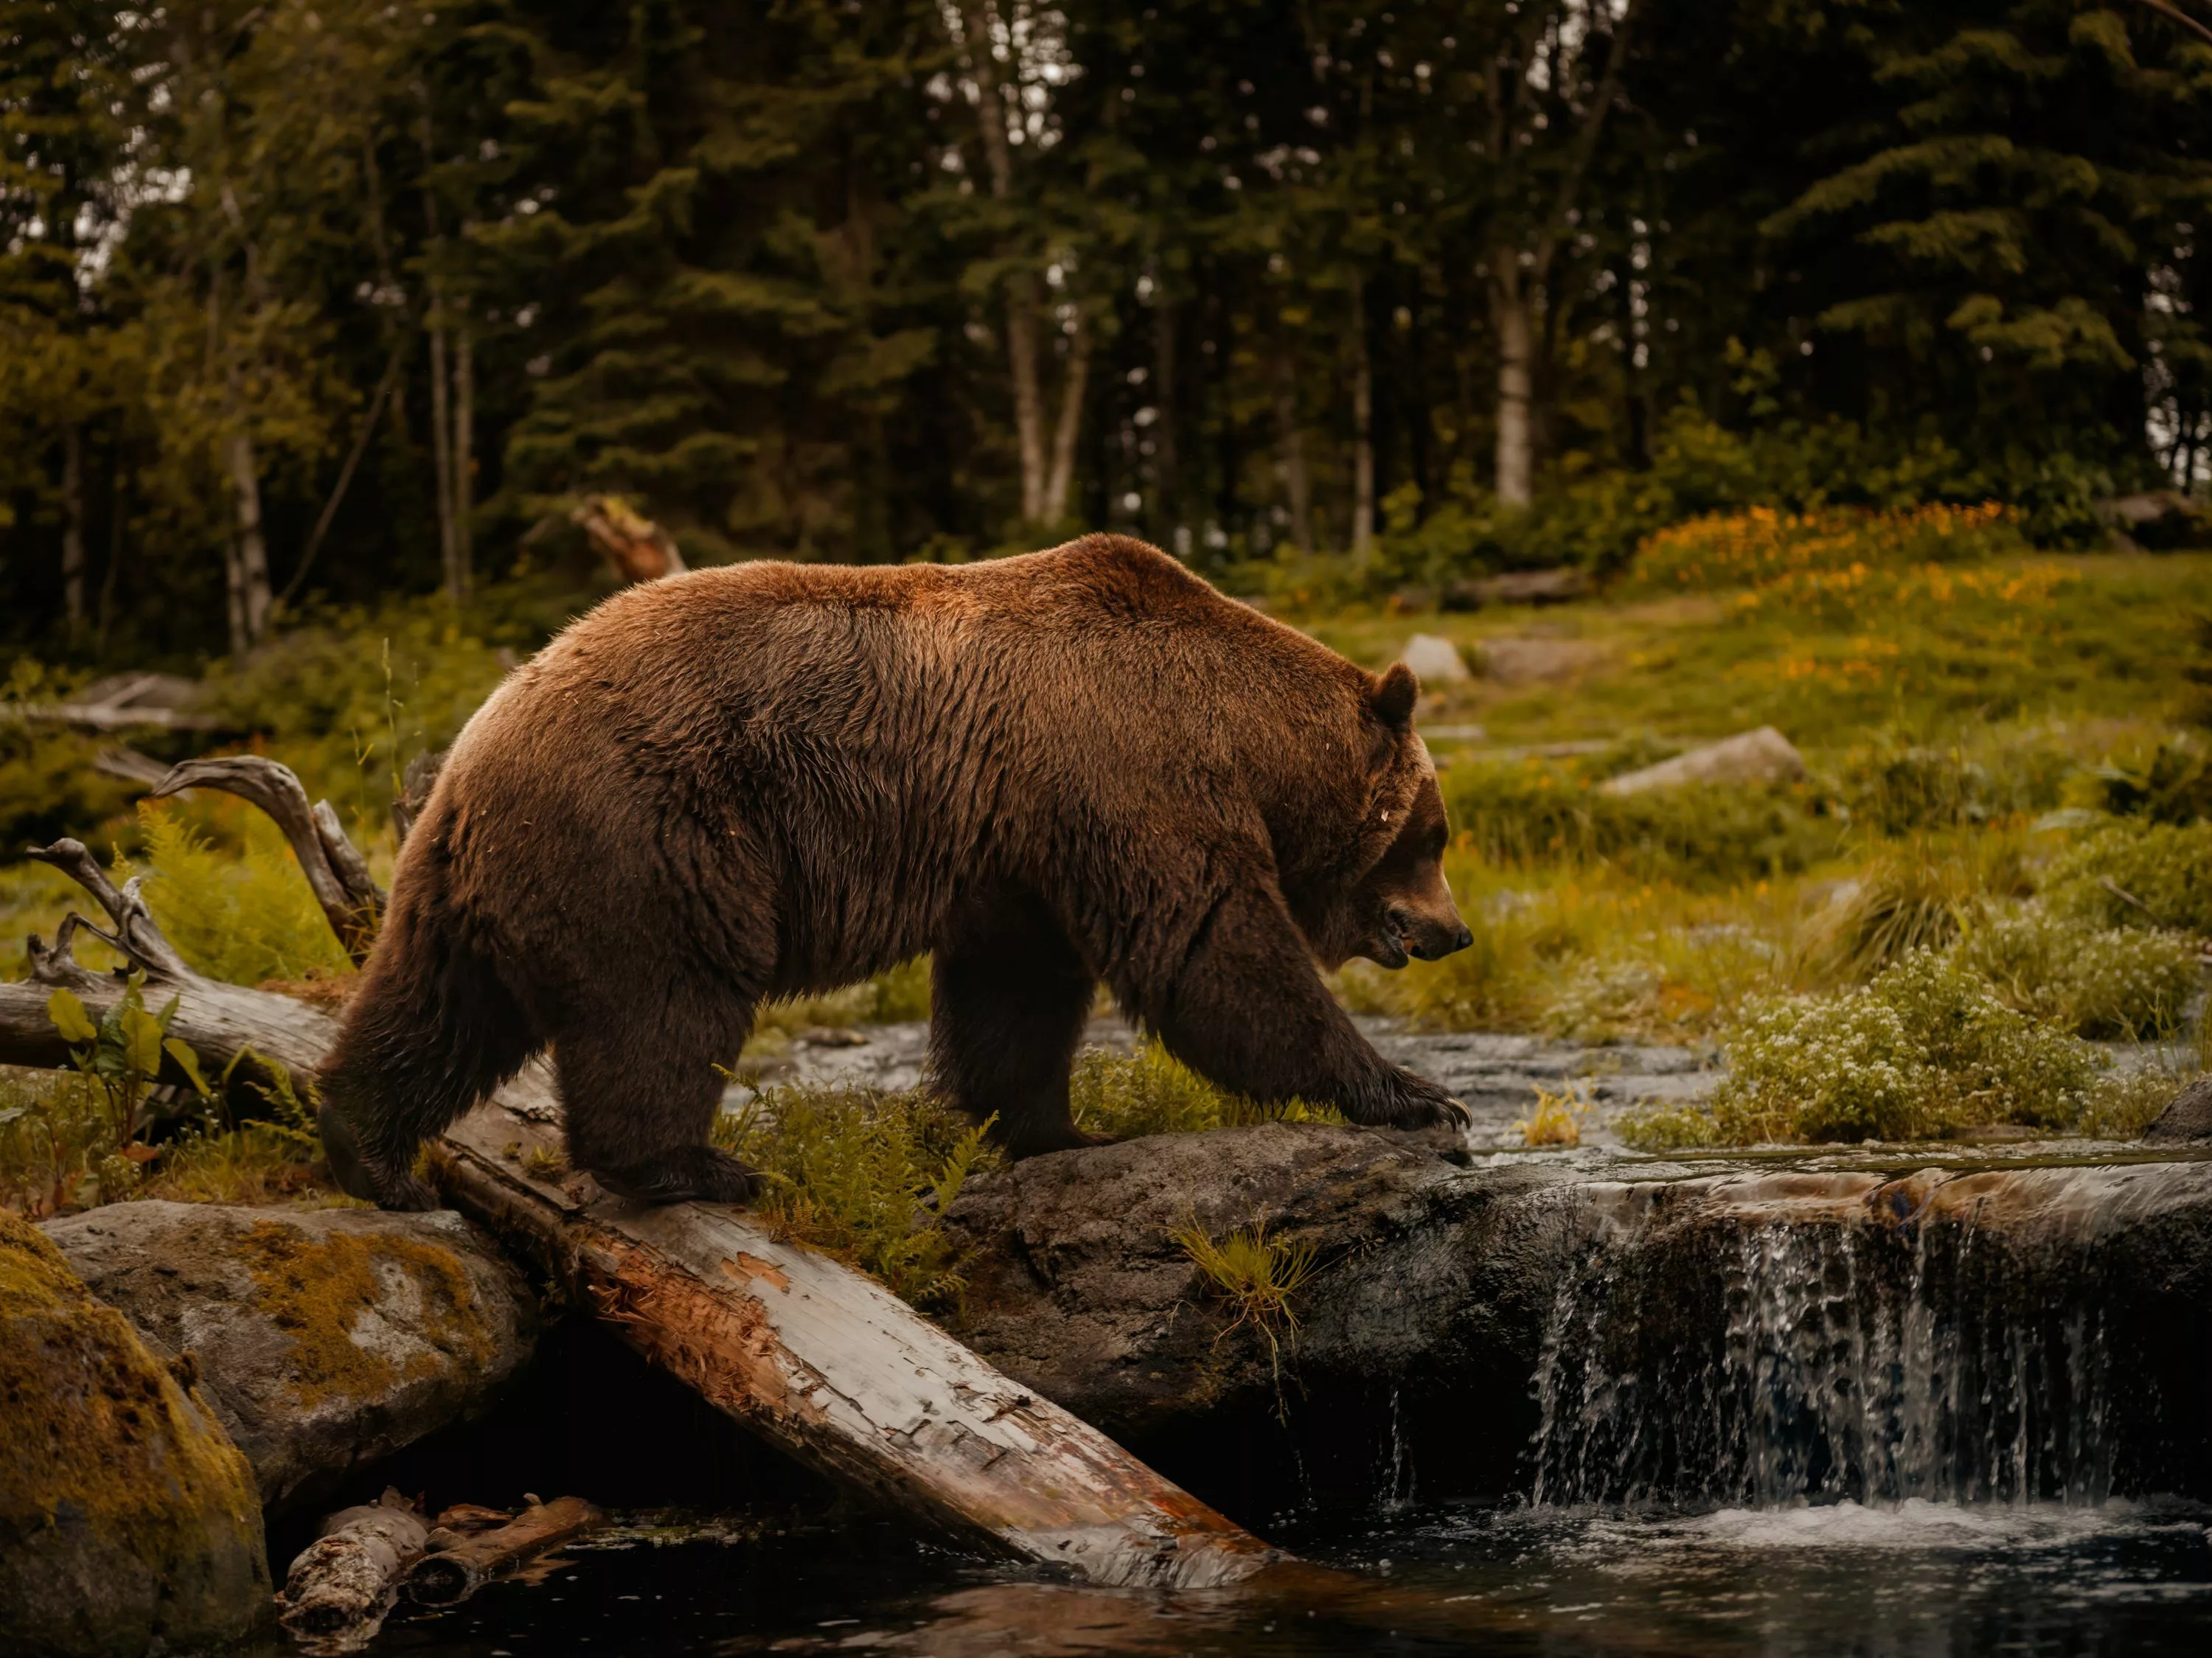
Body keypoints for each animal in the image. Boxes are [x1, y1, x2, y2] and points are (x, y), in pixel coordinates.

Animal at [316, 534, 1475, 1210]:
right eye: (1435, 832)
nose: (1455, 931)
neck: (1244, 736)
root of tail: (481, 740)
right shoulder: (1128, 773)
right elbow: (1216, 954)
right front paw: (1417, 1093)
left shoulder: (1024, 844)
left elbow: (1017, 997)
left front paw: (1052, 1127)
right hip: (654, 839)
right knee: (663, 1006)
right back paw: (696, 1166)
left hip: (476, 877)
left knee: (432, 1007)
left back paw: (370, 1156)